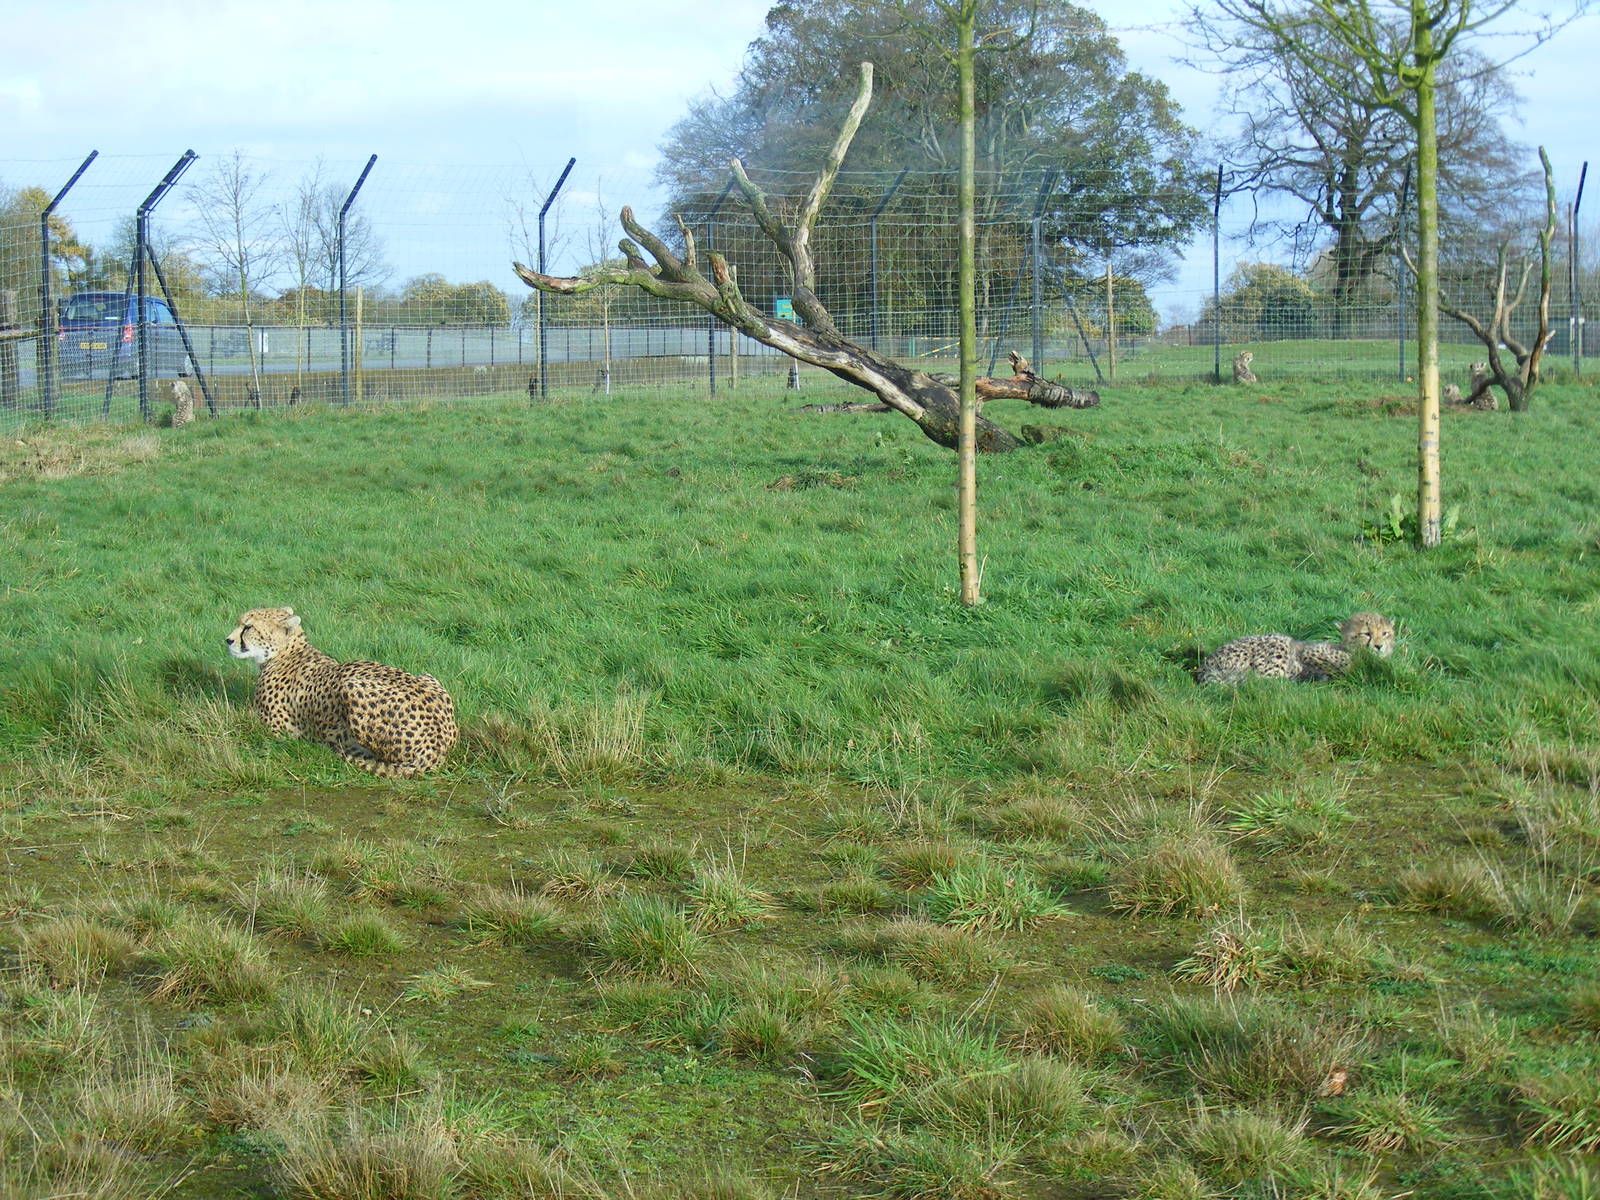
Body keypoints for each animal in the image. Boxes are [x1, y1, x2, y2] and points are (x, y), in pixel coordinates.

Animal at [225, 607, 457, 778]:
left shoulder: (275, 731)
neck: (287, 652)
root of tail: (439, 747)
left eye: (248, 627)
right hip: (427, 676)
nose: (228, 640)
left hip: (351, 685)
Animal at [1197, 612, 1395, 685]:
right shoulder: (1307, 653)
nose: (1379, 646)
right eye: (1366, 634)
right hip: (1279, 645)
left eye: (1385, 633)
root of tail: (1207, 664)